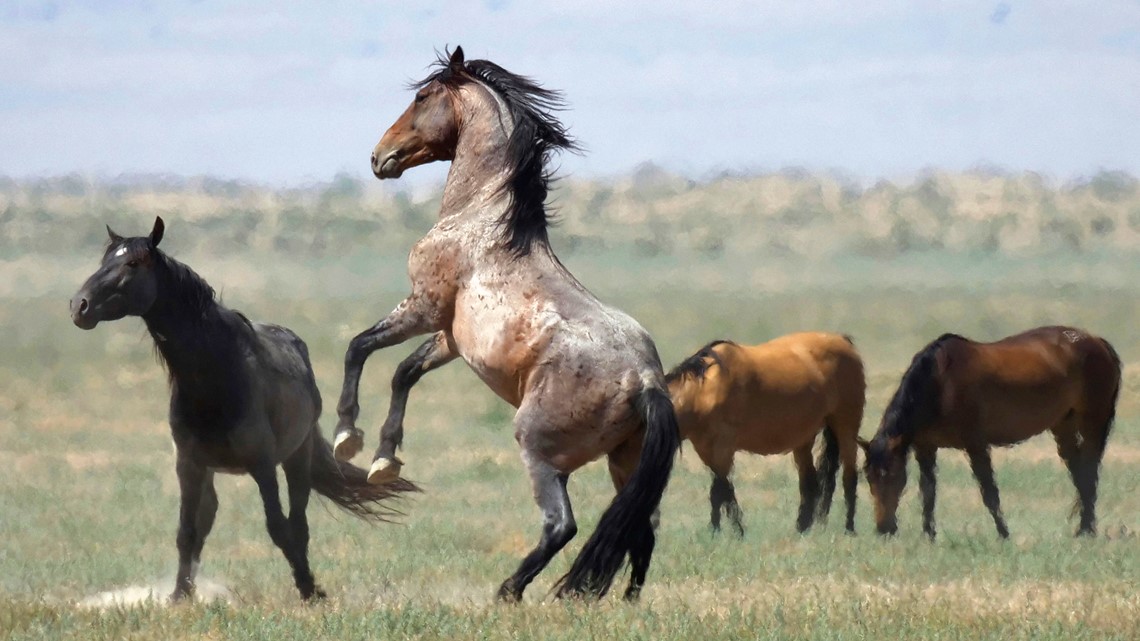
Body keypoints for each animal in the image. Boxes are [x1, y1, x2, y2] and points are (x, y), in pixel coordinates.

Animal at [69, 217, 418, 602]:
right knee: (207, 521)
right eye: (104, 260)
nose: (79, 306)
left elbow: (279, 527)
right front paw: (179, 596)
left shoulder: (262, 465)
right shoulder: (189, 465)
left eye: (132, 263)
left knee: (298, 522)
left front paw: (309, 588)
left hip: (296, 457)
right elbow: (187, 531)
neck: (217, 374)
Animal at [328, 46, 680, 602]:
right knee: (639, 527)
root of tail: (646, 382)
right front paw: (385, 459)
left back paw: (509, 591)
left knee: (563, 526)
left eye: (422, 97)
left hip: (539, 450)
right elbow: (404, 373)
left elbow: (359, 347)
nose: (379, 157)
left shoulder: (422, 308)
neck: (483, 220)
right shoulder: (449, 338)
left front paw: (347, 436)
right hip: (624, 464)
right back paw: (623, 602)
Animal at [666, 334, 865, 536]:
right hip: (804, 439)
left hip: (846, 428)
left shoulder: (723, 448)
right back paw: (802, 529)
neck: (703, 392)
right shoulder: (705, 450)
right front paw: (726, 530)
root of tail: (842, 340)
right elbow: (723, 490)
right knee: (810, 483)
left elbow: (719, 491)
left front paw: (727, 531)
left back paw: (849, 529)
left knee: (849, 477)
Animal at [860, 326, 1121, 539]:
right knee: (1079, 473)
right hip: (1063, 424)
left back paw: (1087, 530)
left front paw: (1003, 533)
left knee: (1089, 471)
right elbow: (928, 492)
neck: (940, 384)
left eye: (892, 475)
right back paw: (1083, 528)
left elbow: (989, 492)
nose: (884, 529)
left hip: (1093, 422)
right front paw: (928, 535)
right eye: (869, 477)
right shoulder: (925, 447)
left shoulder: (976, 445)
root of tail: (1099, 342)